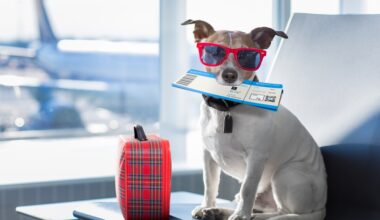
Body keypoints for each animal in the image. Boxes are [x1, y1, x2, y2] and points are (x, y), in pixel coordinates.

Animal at [181, 19, 326, 219]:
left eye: (247, 56)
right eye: (214, 52)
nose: (229, 74)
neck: (227, 108)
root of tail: (322, 205)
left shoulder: (256, 158)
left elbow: (247, 189)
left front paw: (242, 215)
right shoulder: (207, 155)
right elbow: (209, 185)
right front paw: (206, 206)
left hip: (285, 173)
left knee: (283, 213)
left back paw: (249, 216)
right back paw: (218, 211)